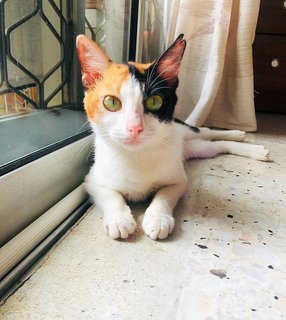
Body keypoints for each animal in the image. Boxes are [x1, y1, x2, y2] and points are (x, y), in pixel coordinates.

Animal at [76, 34, 270, 240]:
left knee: (206, 132)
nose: (135, 128)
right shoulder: (92, 179)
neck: (136, 156)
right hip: (194, 148)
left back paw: (246, 141)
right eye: (111, 102)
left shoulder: (178, 179)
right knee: (213, 145)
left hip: (186, 136)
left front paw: (158, 219)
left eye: (155, 101)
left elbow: (165, 194)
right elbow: (109, 194)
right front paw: (119, 219)